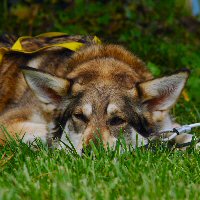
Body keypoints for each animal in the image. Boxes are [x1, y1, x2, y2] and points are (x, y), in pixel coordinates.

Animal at [0, 34, 189, 153]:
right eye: (79, 116)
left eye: (117, 120)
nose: (92, 154)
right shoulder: (7, 122)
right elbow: (50, 133)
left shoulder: (167, 124)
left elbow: (183, 133)